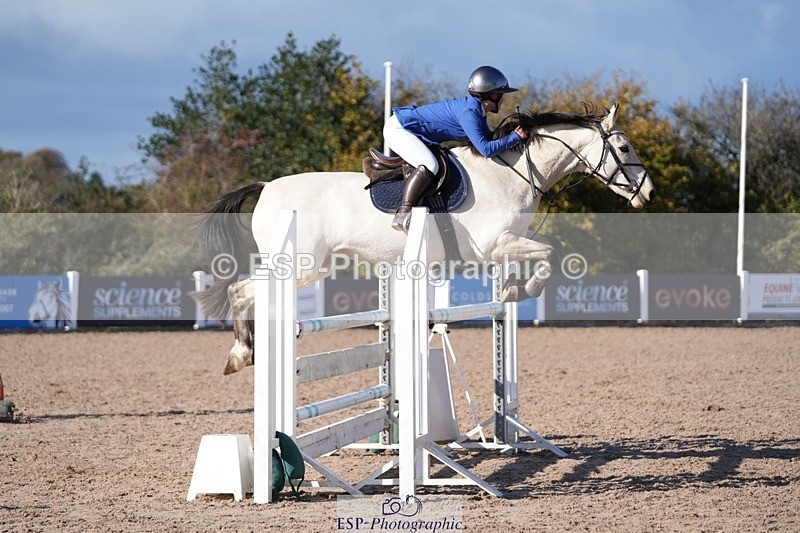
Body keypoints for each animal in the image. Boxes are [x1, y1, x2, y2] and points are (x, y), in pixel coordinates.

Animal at [194, 103, 656, 374]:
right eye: (625, 148)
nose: (648, 193)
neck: (512, 172)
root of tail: (266, 186)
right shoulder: (494, 245)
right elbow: (551, 254)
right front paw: (522, 290)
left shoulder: (505, 246)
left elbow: (538, 258)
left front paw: (510, 290)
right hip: (298, 264)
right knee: (240, 290)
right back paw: (241, 353)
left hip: (311, 267)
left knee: (245, 290)